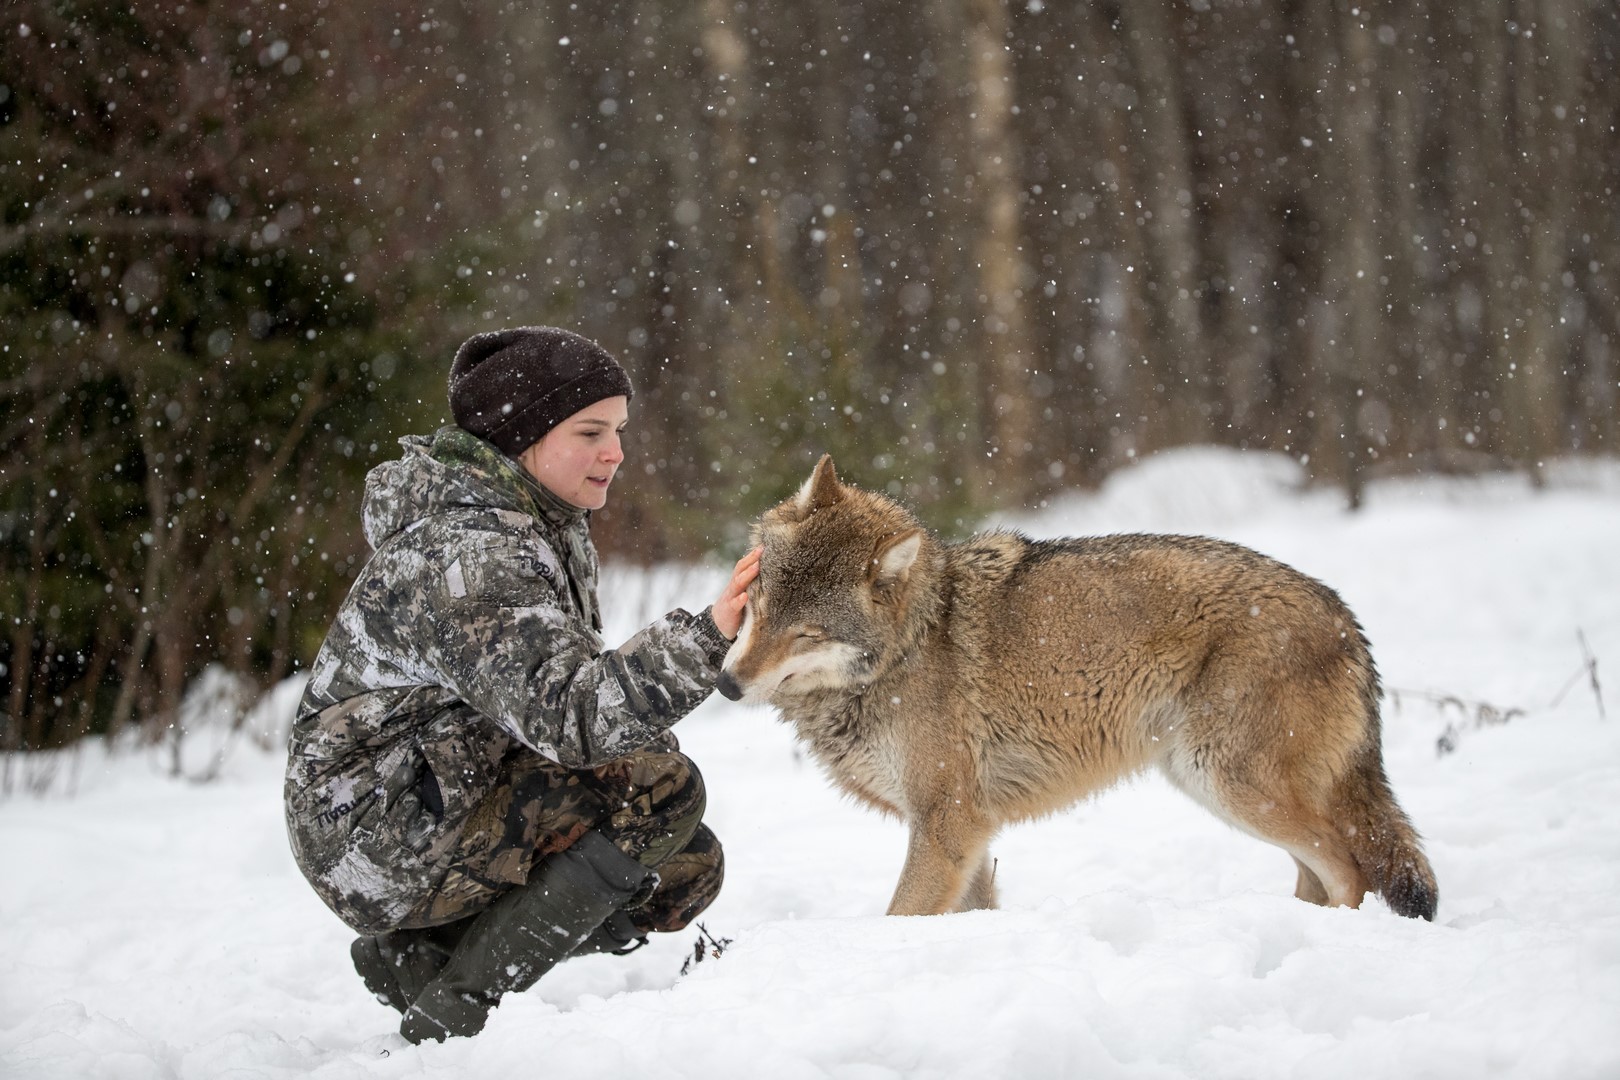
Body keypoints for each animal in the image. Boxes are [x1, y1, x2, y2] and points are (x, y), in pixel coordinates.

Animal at [716, 456, 1438, 919]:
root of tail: (1343, 615)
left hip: (1227, 783)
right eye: (760, 602)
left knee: (1349, 868)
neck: (908, 647)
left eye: (806, 633)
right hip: (1214, 785)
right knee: (1317, 871)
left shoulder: (948, 824)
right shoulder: (970, 834)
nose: (724, 684)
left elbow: (898, 916)